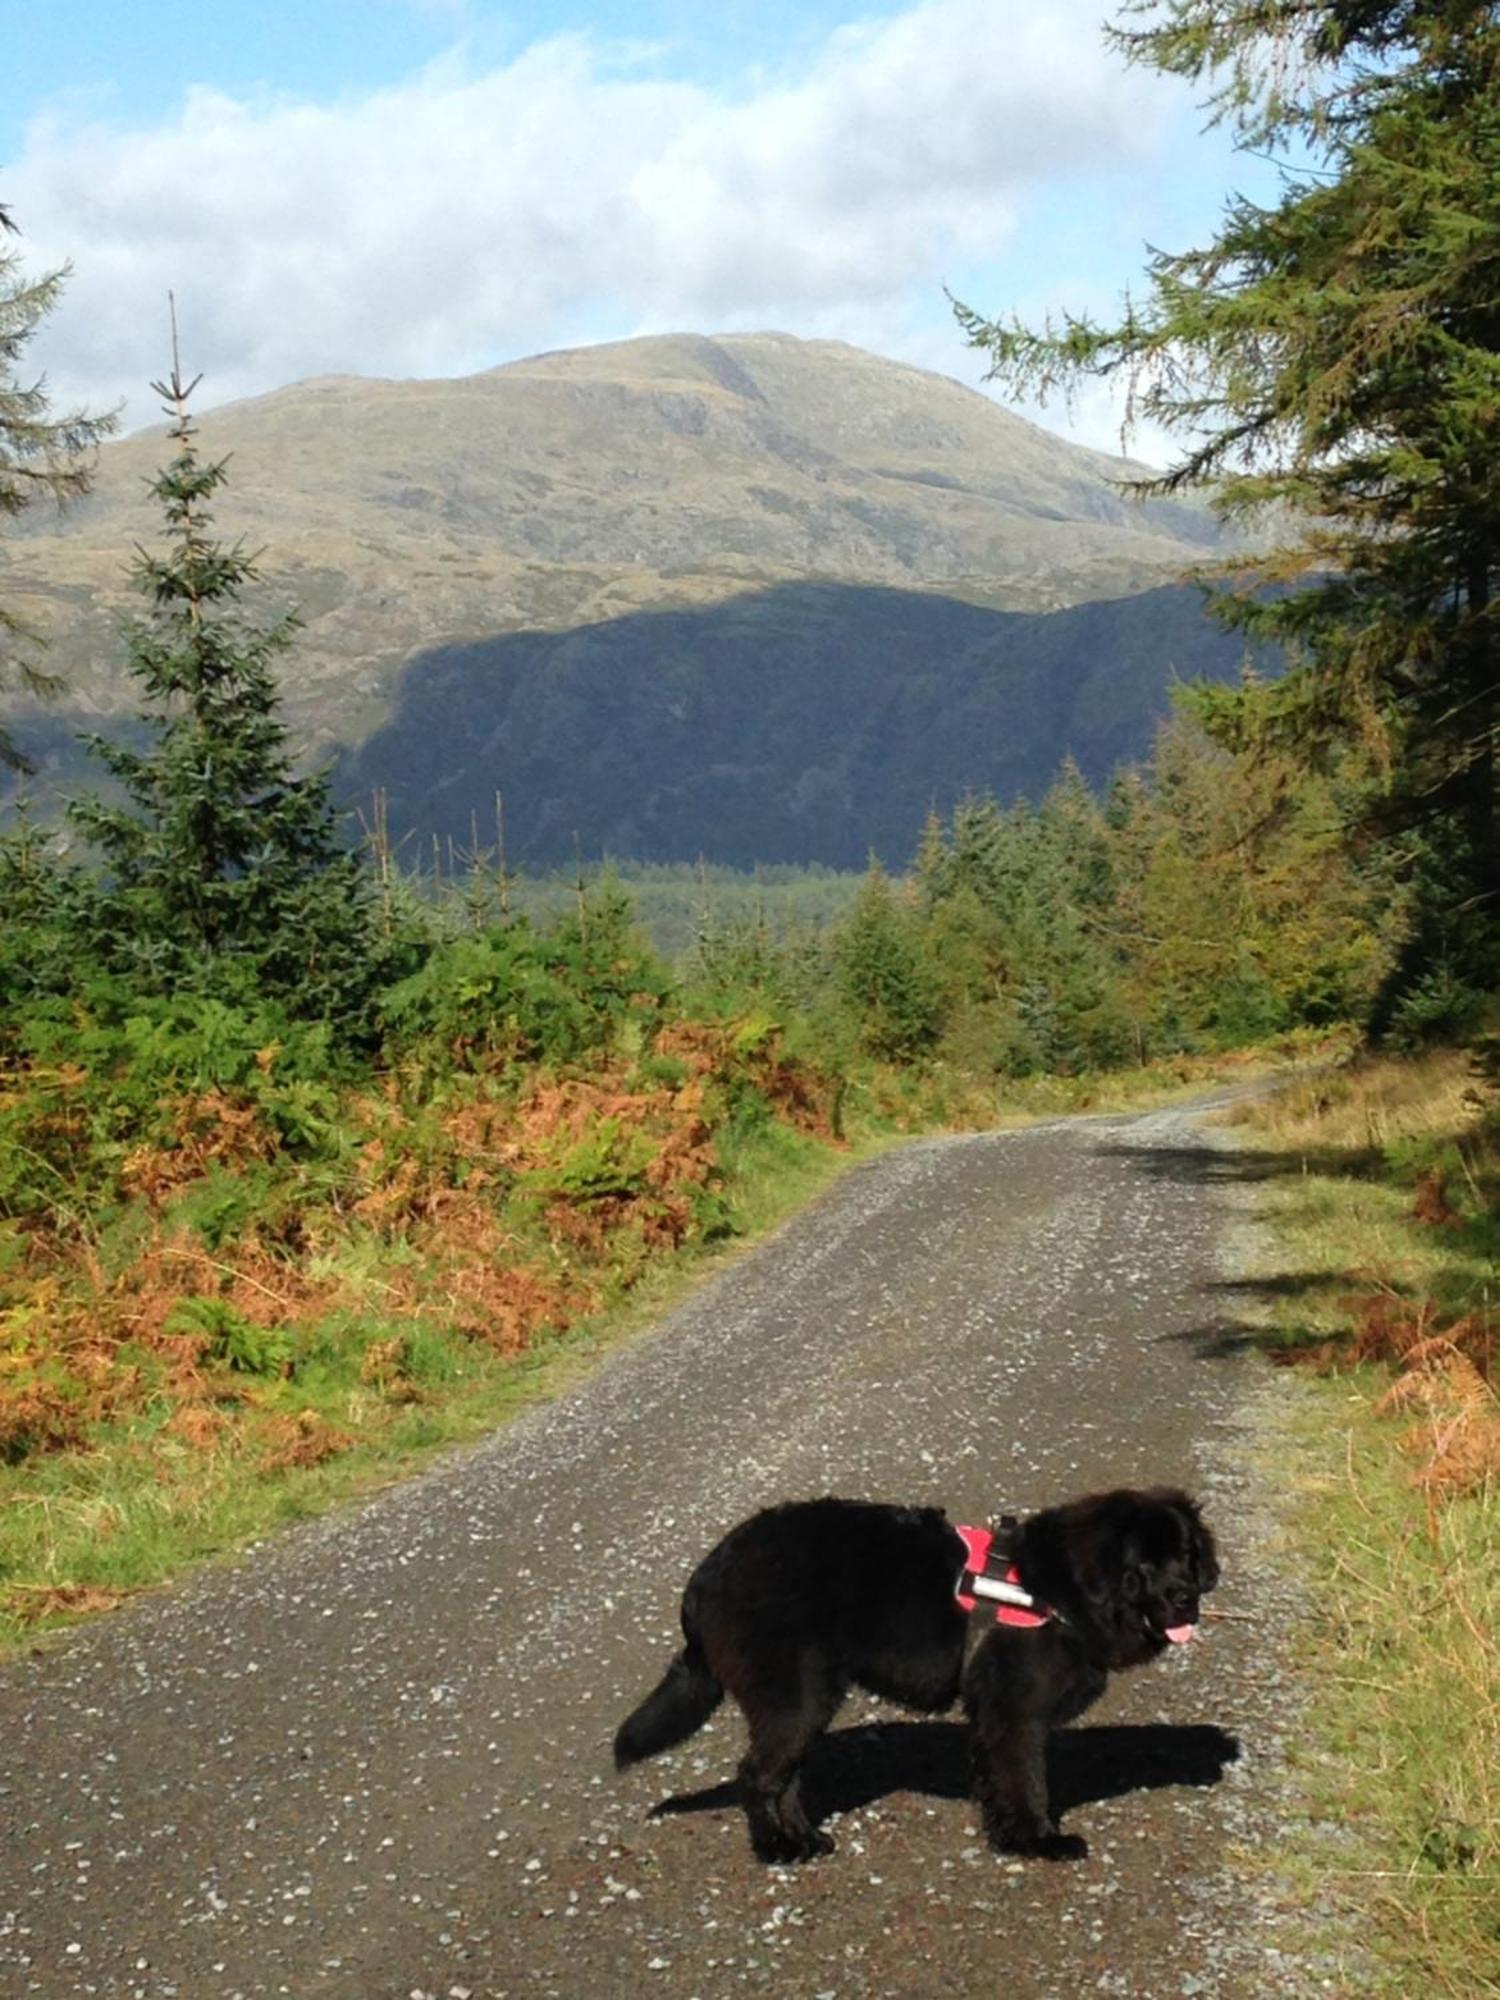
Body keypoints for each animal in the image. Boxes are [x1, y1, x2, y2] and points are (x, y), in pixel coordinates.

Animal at [616, 1488, 1216, 1856]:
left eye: (1188, 1556)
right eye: (1143, 1566)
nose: (1187, 1599)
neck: (1059, 1590)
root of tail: (706, 1573)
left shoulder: (993, 1715)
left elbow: (998, 1779)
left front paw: (1006, 1833)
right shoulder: (1014, 1710)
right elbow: (1026, 1779)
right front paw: (1039, 1841)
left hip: (803, 1702)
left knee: (782, 1777)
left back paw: (806, 1839)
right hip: (797, 1696)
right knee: (758, 1775)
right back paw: (778, 1849)